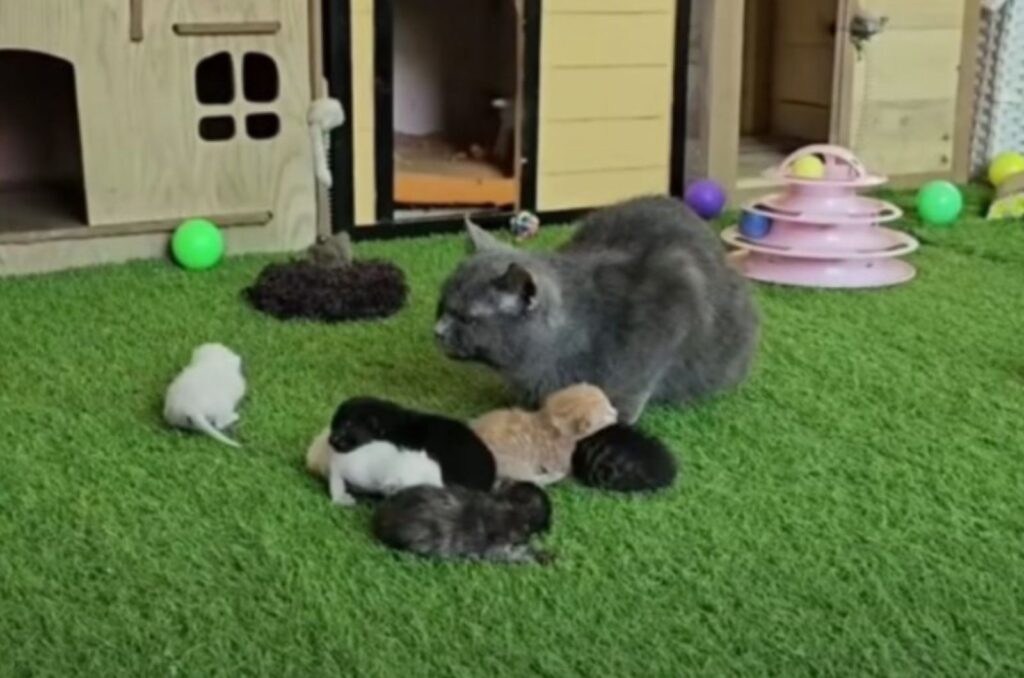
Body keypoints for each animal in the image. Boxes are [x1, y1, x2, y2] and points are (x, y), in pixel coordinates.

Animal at [471, 385, 614, 485]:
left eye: (609, 403)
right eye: (606, 414)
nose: (616, 413)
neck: (549, 422)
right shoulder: (556, 460)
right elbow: (566, 469)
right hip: (517, 467)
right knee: (532, 481)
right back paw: (553, 477)